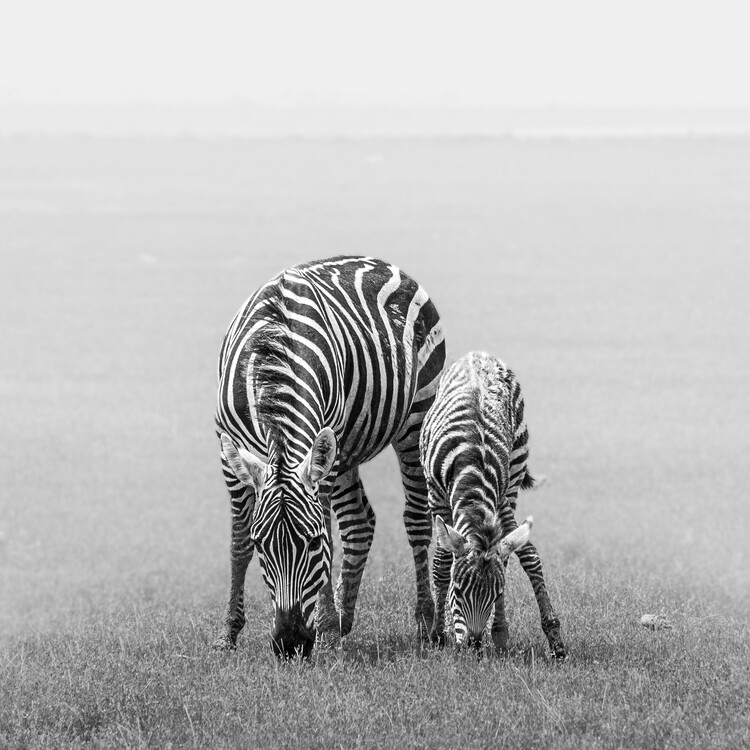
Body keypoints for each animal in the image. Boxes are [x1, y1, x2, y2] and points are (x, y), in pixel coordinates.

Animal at [214, 256, 445, 658]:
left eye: (313, 543)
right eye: (262, 546)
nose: (290, 643)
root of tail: (383, 262)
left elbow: (329, 530)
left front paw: (323, 631)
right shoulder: (229, 450)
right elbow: (237, 541)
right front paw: (229, 633)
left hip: (415, 419)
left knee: (416, 521)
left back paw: (423, 622)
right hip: (346, 446)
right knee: (359, 521)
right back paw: (343, 619)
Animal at [420, 351, 566, 659]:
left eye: (497, 594)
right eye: (457, 591)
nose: (474, 646)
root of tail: (480, 355)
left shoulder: (502, 499)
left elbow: (526, 554)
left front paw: (554, 639)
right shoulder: (435, 496)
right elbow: (441, 562)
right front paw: (437, 634)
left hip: (515, 470)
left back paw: (500, 633)